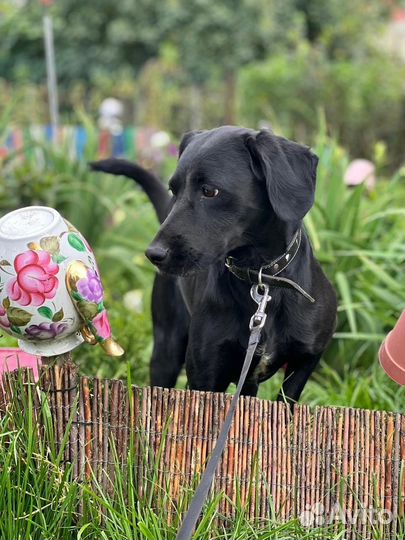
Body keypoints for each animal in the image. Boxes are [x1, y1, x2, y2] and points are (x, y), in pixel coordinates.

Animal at [93, 126, 336, 402]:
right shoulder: (205, 373)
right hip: (166, 349)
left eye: (210, 191)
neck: (261, 280)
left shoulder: (305, 360)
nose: (153, 254)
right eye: (173, 190)